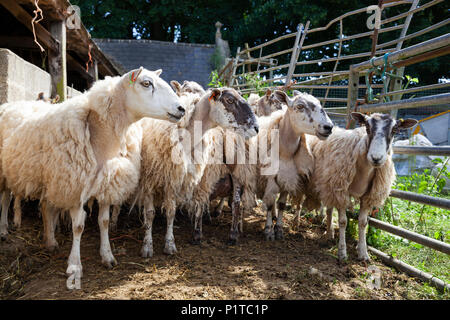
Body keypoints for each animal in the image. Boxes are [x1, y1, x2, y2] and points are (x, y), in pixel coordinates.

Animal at [0, 67, 185, 288]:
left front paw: (107, 256)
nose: (182, 108)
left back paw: (50, 242)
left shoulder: (105, 185)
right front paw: (75, 266)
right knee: (5, 199)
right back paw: (4, 230)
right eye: (146, 83)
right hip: (7, 174)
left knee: (45, 206)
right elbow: (78, 227)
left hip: (51, 178)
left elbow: (103, 221)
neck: (102, 138)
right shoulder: (76, 188)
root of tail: (12, 103)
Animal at [302, 111, 418, 262]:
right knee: (329, 210)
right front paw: (342, 252)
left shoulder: (367, 196)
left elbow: (363, 222)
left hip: (329, 184)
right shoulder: (341, 190)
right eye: (367, 127)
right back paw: (329, 233)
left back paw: (330, 233)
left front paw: (363, 253)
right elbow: (343, 221)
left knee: (329, 209)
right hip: (330, 184)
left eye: (394, 130)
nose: (376, 158)